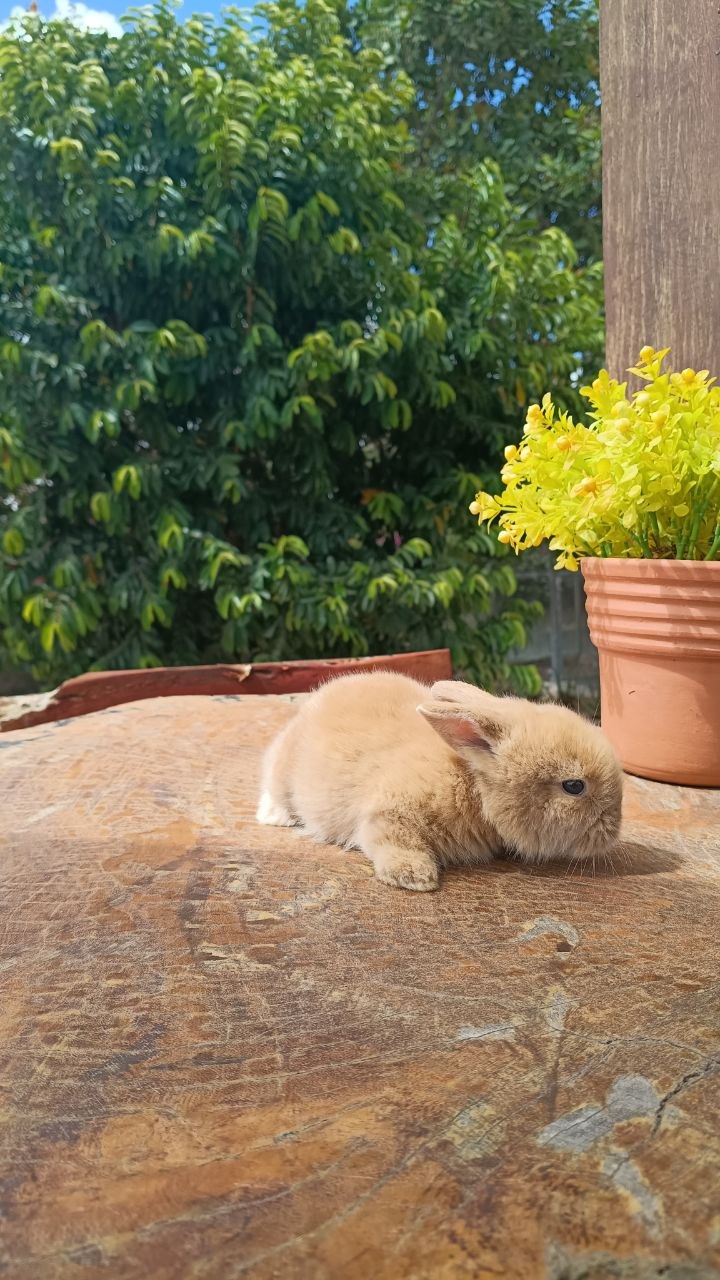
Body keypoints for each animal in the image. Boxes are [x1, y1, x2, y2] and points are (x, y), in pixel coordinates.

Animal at [256, 671, 623, 891]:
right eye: (574, 786)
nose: (614, 829)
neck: (472, 785)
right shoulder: (387, 812)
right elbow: (390, 839)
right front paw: (415, 877)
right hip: (284, 768)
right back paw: (276, 817)